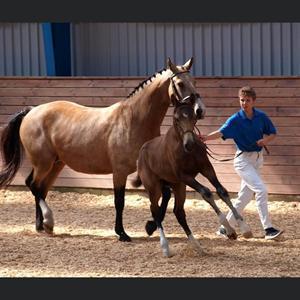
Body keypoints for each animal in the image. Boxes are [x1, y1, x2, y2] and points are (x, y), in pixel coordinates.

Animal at [0, 58, 206, 241]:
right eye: (180, 83)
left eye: (195, 81)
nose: (200, 110)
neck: (133, 120)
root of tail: (31, 111)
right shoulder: (120, 172)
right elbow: (119, 201)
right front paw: (122, 233)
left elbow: (166, 194)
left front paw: (149, 226)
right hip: (44, 163)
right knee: (33, 185)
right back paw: (48, 222)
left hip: (55, 164)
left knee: (40, 188)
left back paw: (41, 226)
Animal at [132, 105, 252, 255]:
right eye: (177, 119)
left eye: (194, 116)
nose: (189, 144)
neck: (185, 149)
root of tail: (141, 152)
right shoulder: (185, 176)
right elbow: (206, 193)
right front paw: (229, 229)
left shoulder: (206, 169)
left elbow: (222, 191)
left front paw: (243, 227)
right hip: (154, 188)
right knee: (155, 210)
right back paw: (165, 247)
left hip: (178, 186)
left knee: (178, 212)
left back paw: (196, 245)